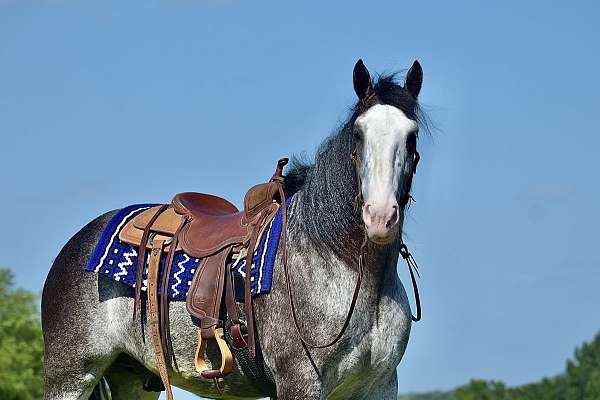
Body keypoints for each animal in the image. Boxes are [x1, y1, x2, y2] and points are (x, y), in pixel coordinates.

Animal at [41, 59, 426, 400]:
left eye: (412, 136)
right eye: (358, 134)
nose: (379, 216)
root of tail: (77, 244)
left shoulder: (378, 387)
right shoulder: (300, 382)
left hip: (132, 378)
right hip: (70, 377)